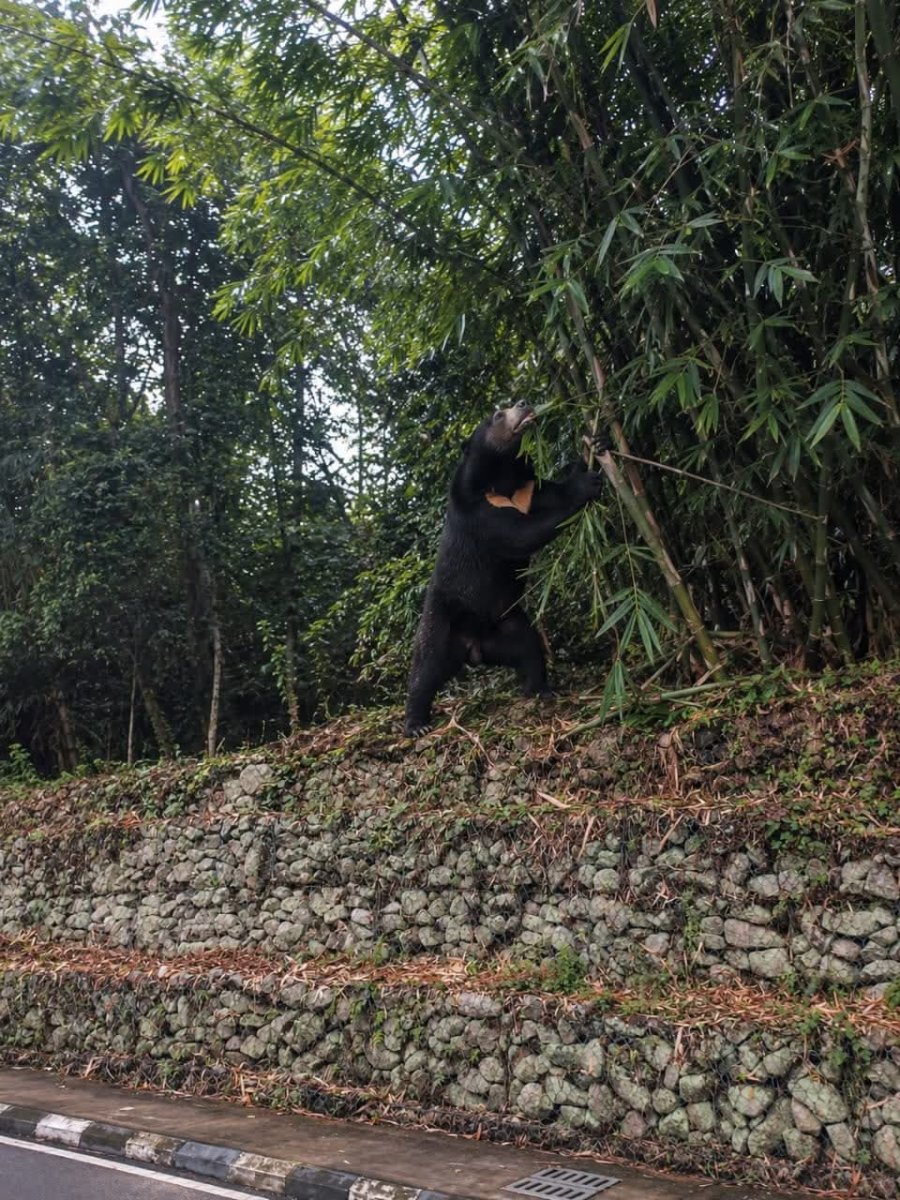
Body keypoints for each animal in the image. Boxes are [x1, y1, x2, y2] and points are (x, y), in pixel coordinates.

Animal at [404, 399, 604, 735]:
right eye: (498, 415)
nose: (524, 403)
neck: (502, 475)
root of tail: (472, 649)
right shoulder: (479, 512)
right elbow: (519, 535)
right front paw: (586, 484)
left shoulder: (528, 490)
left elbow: (554, 492)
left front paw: (596, 441)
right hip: (442, 618)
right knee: (425, 667)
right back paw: (416, 723)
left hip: (506, 625)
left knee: (528, 647)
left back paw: (539, 689)